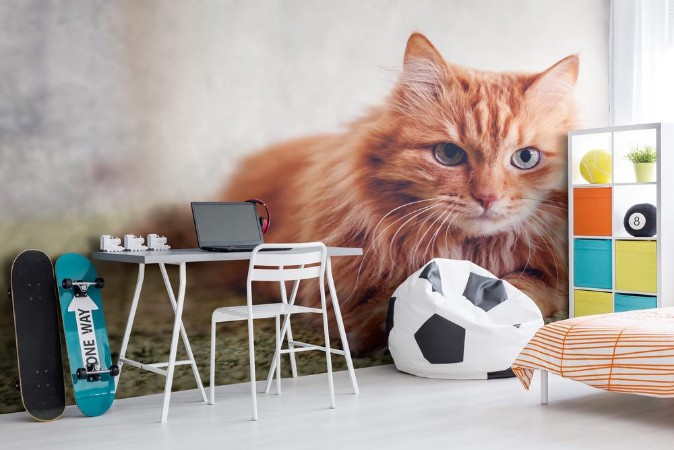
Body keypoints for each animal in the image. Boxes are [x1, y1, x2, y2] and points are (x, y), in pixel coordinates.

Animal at [222, 33, 576, 356]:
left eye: (526, 158)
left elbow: (524, 287)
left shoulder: (552, 278)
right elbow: (389, 305)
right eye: (449, 154)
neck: (472, 249)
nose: (487, 198)